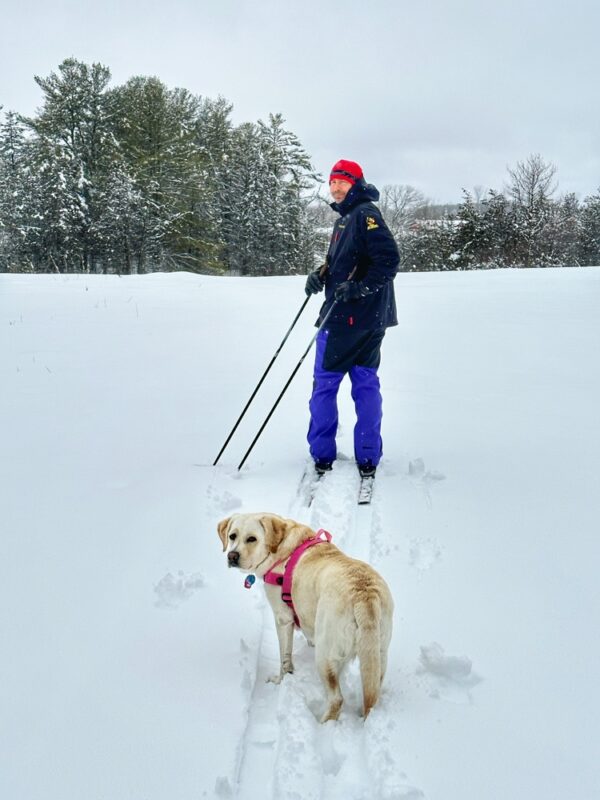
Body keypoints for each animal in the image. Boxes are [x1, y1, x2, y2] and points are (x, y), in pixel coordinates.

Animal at [217, 512, 394, 724]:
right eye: (232, 536)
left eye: (252, 539)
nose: (232, 556)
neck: (282, 549)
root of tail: (364, 594)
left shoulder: (282, 619)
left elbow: (284, 660)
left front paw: (280, 680)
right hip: (378, 655)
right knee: (372, 694)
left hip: (325, 655)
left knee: (337, 699)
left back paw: (324, 723)